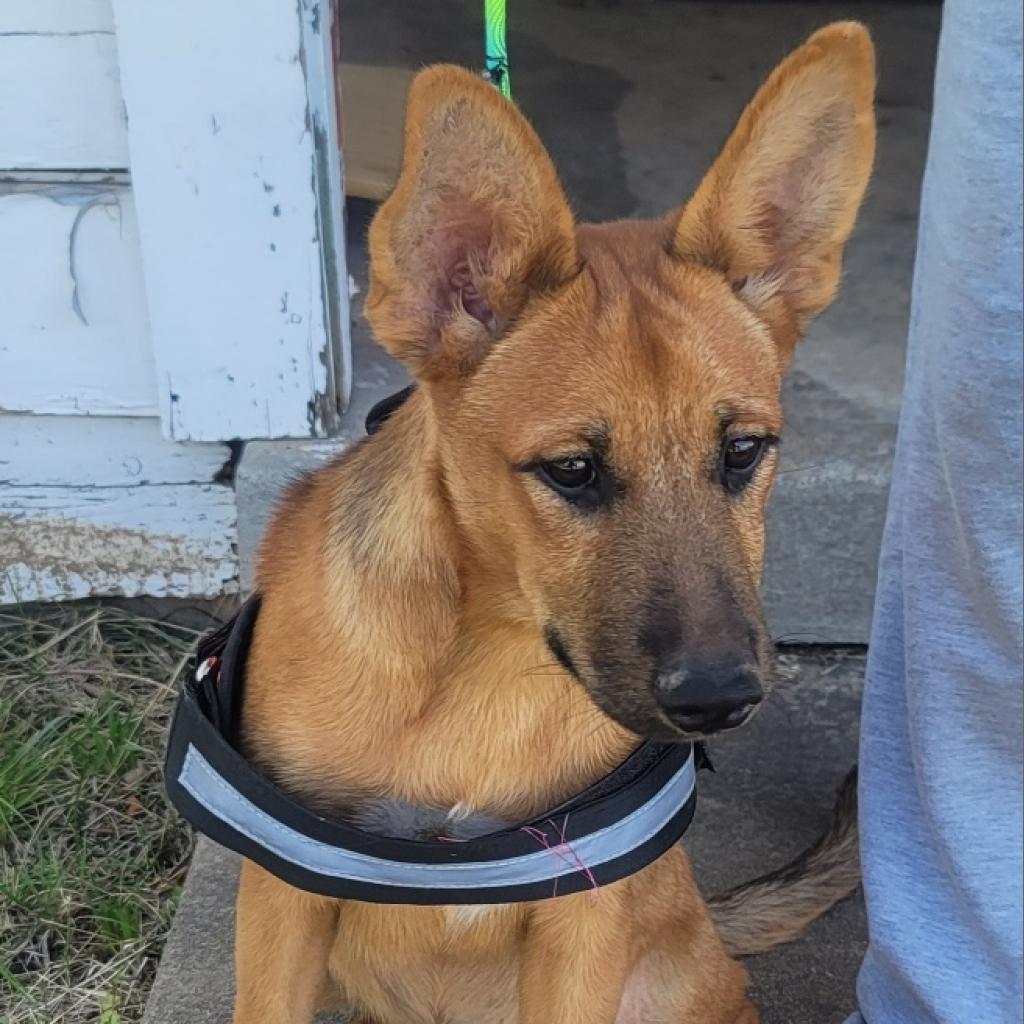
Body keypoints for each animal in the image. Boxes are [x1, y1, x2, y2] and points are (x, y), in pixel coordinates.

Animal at [235, 24, 876, 1024]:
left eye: (743, 452)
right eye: (571, 471)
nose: (719, 701)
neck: (481, 666)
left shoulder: (582, 923)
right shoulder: (282, 900)